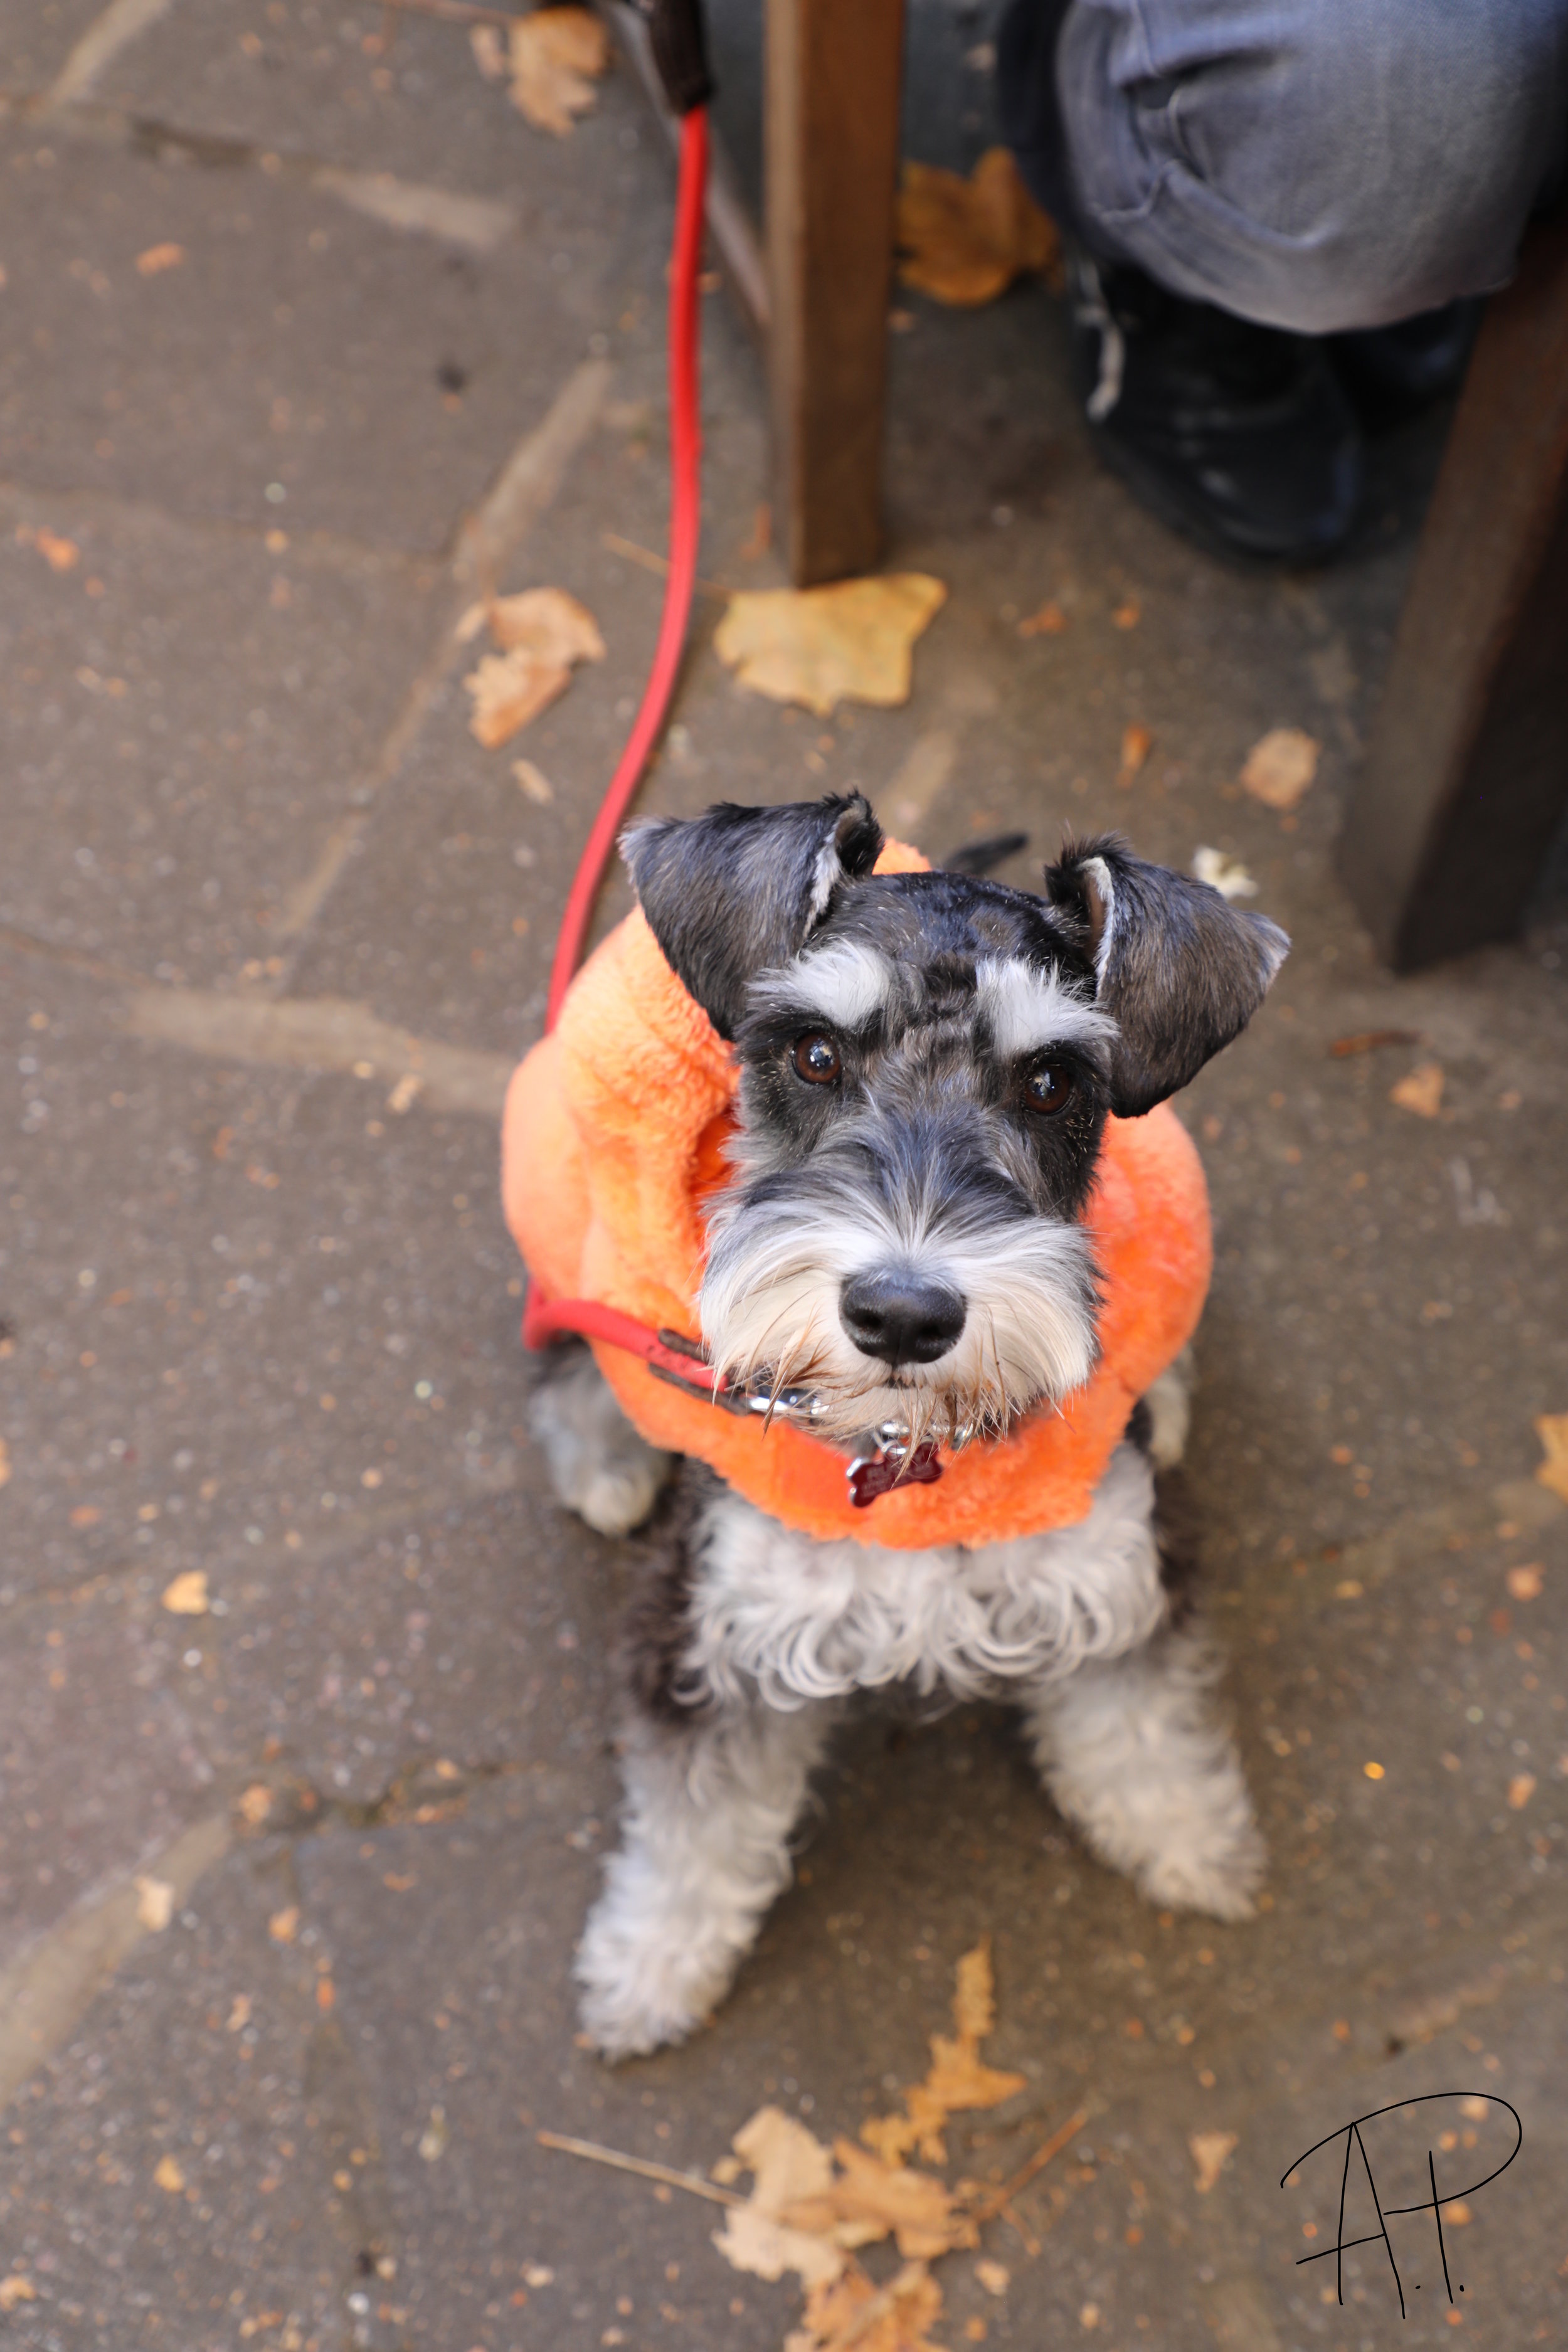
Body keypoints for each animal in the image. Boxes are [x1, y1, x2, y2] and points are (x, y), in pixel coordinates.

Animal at [526, 800, 1288, 2051]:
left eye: (1052, 1081)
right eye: (815, 1053)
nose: (903, 1314)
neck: (908, 1452)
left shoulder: (1119, 1569)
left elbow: (1139, 1723)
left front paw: (1185, 1839)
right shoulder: (711, 1637)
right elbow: (696, 1829)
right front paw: (650, 1969)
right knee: (580, 1347)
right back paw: (603, 1459)